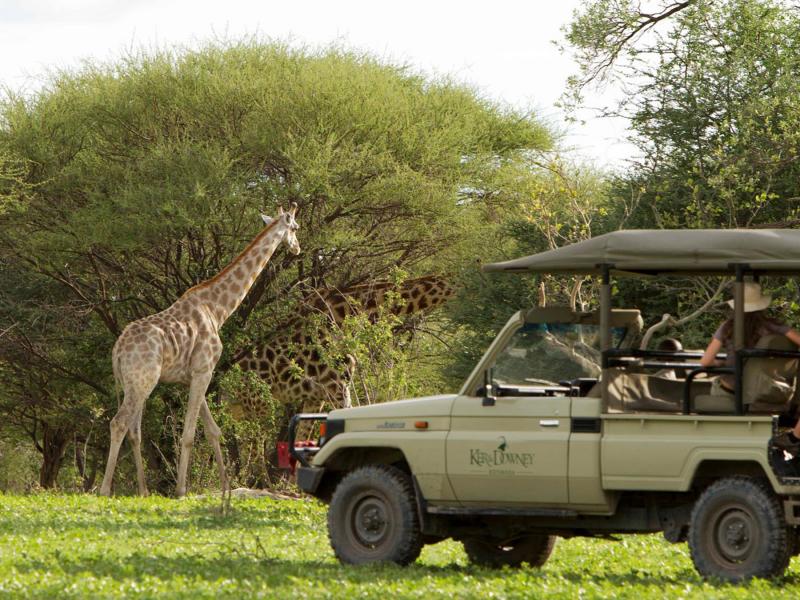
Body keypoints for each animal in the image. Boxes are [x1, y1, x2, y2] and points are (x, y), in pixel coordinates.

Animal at [99, 204, 301, 497]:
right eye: (295, 227)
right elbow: (189, 434)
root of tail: (118, 350)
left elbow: (213, 430)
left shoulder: (195, 375)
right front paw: (182, 490)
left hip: (133, 384)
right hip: (143, 381)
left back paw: (143, 491)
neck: (217, 310)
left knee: (135, 431)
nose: (297, 248)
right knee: (119, 423)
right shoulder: (204, 369)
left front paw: (227, 486)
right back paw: (104, 490)